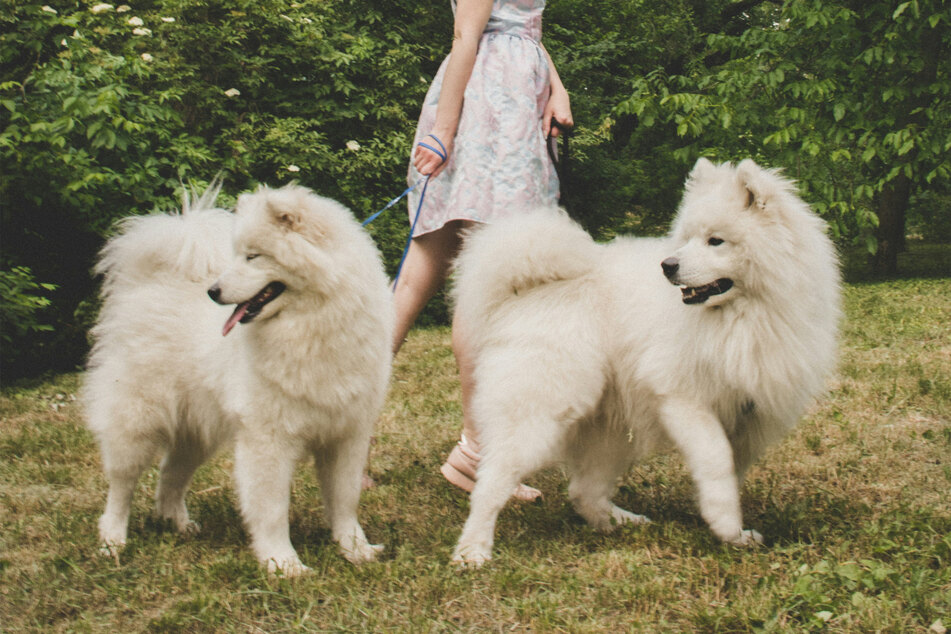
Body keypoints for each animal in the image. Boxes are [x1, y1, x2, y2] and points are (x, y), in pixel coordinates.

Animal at [82, 181, 394, 572]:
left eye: (253, 257)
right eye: (240, 255)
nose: (213, 292)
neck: (313, 326)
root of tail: (147, 285)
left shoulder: (346, 434)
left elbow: (345, 499)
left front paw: (355, 549)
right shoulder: (268, 439)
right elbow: (273, 508)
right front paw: (283, 563)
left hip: (194, 431)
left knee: (170, 474)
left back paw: (178, 524)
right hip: (136, 422)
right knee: (121, 485)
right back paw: (113, 540)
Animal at [448, 158, 840, 564]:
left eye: (715, 241)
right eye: (687, 239)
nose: (668, 265)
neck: (742, 317)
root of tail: (523, 292)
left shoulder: (749, 417)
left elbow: (731, 472)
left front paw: (731, 531)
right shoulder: (684, 399)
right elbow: (716, 460)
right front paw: (727, 528)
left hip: (609, 428)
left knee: (583, 493)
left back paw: (620, 522)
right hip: (538, 410)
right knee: (492, 483)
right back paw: (473, 550)